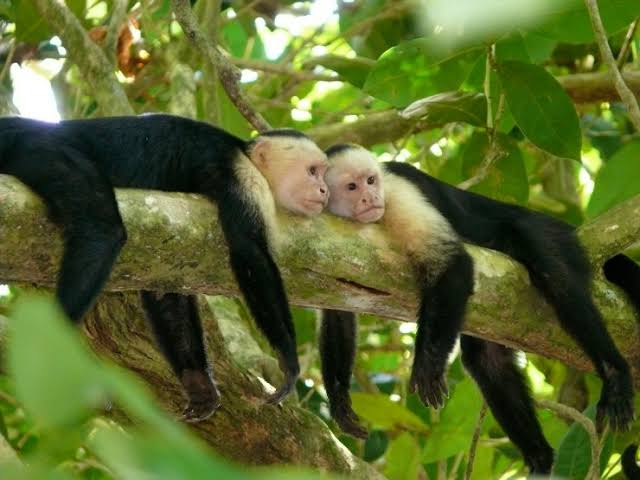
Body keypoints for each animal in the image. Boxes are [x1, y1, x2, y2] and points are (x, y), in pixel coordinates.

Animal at [0, 114, 329, 421]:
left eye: (322, 174)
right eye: (312, 171)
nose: (325, 190)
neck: (245, 156)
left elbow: (166, 295)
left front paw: (198, 384)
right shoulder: (243, 178)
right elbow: (250, 252)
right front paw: (288, 359)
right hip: (44, 148)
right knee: (102, 228)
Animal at [318, 143, 639, 475]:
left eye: (371, 180)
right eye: (352, 187)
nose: (371, 198)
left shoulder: (396, 194)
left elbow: (454, 266)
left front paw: (427, 366)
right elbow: (338, 313)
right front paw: (339, 400)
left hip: (549, 234)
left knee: (554, 274)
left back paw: (615, 373)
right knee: (485, 359)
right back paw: (540, 457)